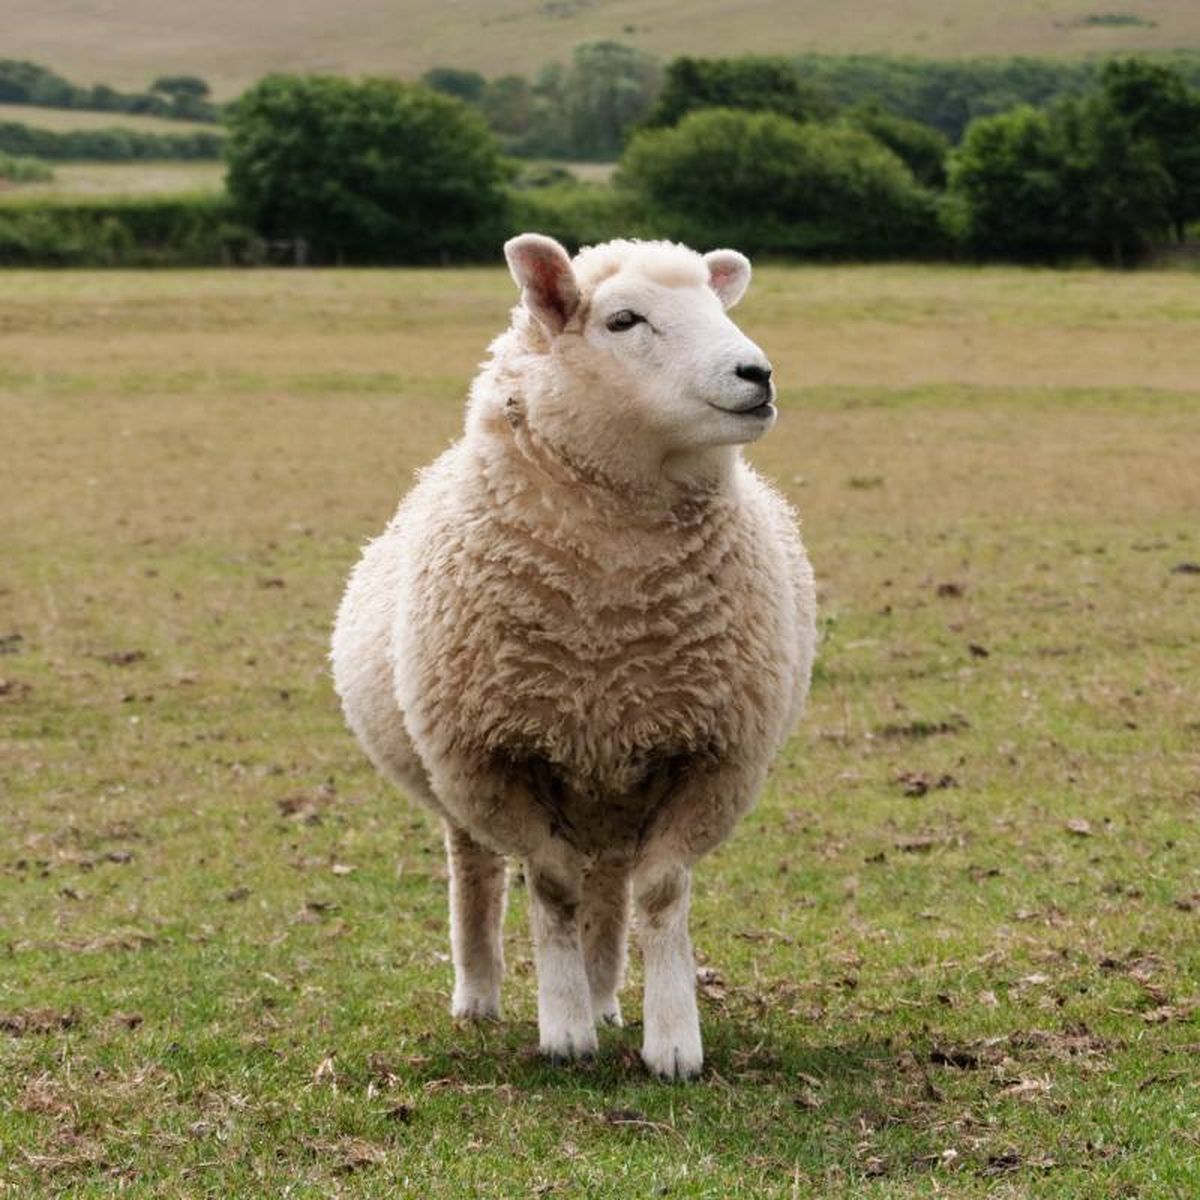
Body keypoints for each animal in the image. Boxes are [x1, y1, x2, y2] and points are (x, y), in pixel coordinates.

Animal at [331, 234, 817, 1080]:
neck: (608, 617)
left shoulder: (712, 756)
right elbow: (551, 888)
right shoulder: (492, 759)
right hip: (462, 783)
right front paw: (562, 1031)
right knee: (477, 873)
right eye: (624, 320)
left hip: (618, 782)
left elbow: (661, 893)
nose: (756, 375)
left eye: (717, 305)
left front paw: (672, 1039)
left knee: (612, 886)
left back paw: (607, 996)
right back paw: (481, 995)